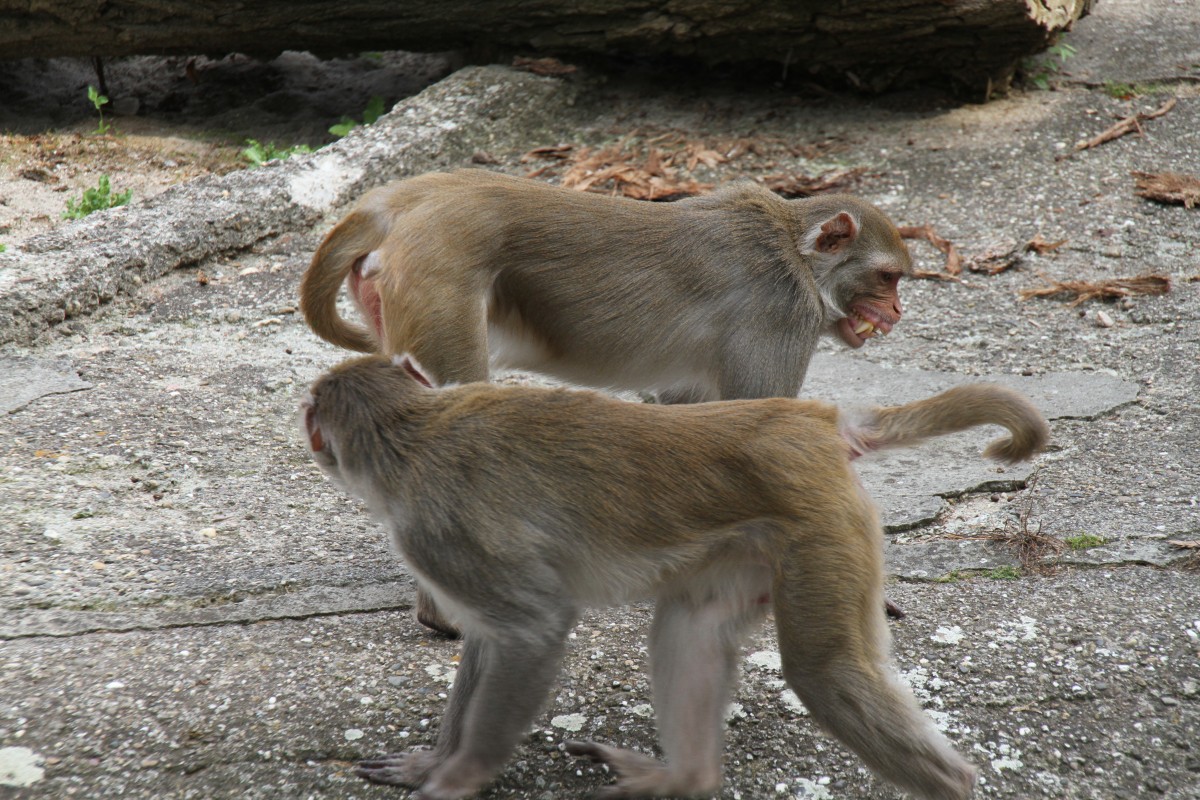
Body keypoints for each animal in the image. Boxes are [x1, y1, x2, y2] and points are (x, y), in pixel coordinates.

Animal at [302, 357, 1051, 800]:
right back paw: (686, 778)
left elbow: (532, 629)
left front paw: (458, 778)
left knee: (826, 673)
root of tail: (809, 419)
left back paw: (951, 781)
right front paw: (434, 761)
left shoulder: (438, 535)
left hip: (823, 525)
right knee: (693, 626)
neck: (410, 431)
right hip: (759, 543)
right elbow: (492, 639)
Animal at [304, 170, 912, 638]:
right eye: (887, 277)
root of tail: (395, 203)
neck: (794, 249)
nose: (896, 313)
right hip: (440, 288)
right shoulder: (781, 316)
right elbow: (763, 424)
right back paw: (450, 617)